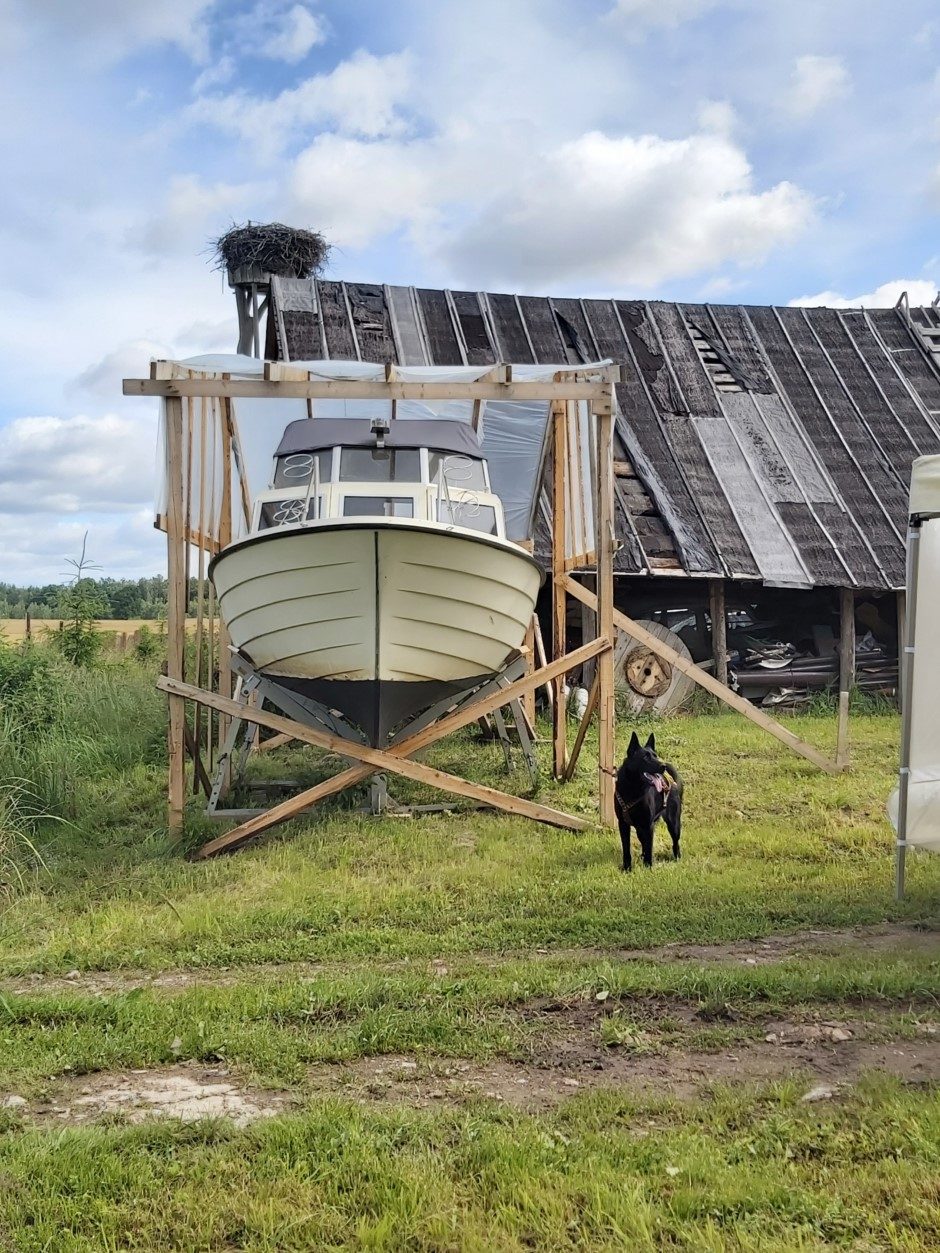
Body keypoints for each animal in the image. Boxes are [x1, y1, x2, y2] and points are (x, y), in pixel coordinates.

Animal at [614, 731, 681, 872]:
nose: (663, 766)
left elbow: (649, 848)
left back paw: (677, 858)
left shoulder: (648, 825)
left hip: (674, 823)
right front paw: (627, 868)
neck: (633, 788)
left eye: (655, 755)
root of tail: (670, 780)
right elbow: (626, 849)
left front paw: (648, 868)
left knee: (675, 842)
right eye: (646, 757)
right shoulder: (623, 824)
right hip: (640, 829)